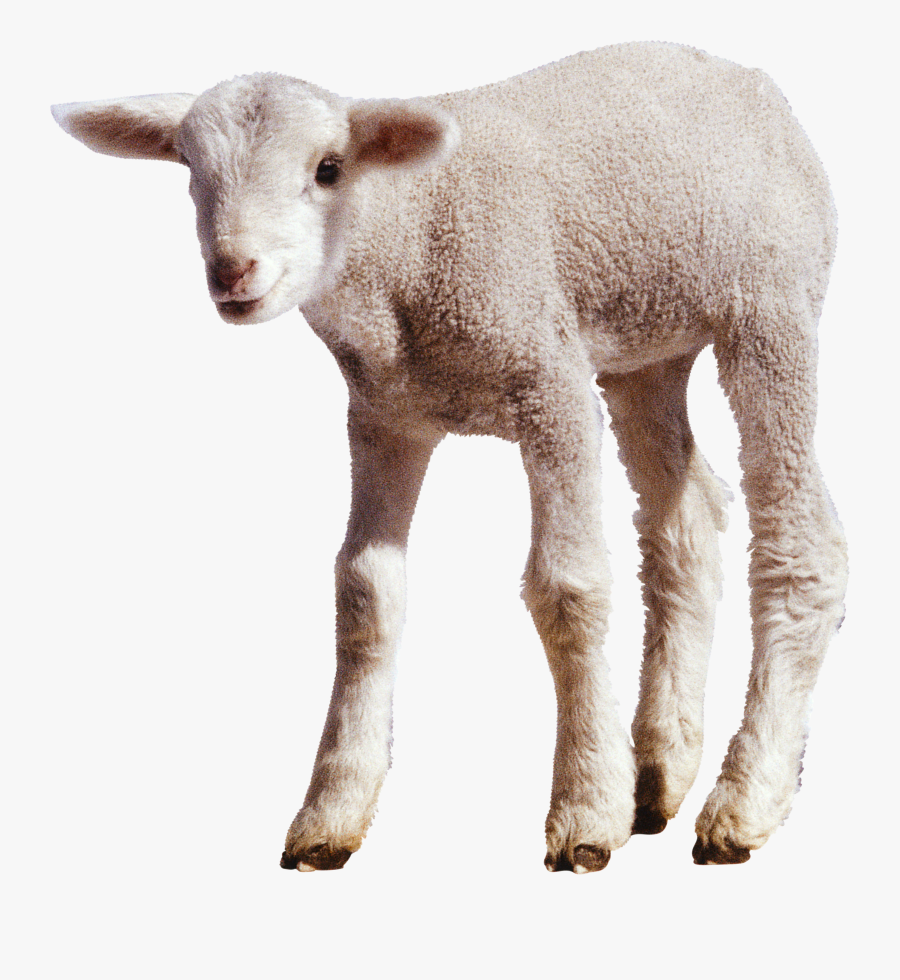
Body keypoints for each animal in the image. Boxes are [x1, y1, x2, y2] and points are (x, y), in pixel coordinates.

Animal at [51, 41, 847, 873]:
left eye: (328, 169)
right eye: (188, 170)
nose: (233, 272)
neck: (404, 231)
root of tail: (739, 73)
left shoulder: (549, 379)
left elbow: (569, 587)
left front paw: (586, 810)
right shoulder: (385, 417)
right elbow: (365, 593)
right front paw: (332, 811)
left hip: (771, 300)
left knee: (802, 542)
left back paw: (745, 798)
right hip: (647, 340)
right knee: (683, 523)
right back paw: (660, 771)